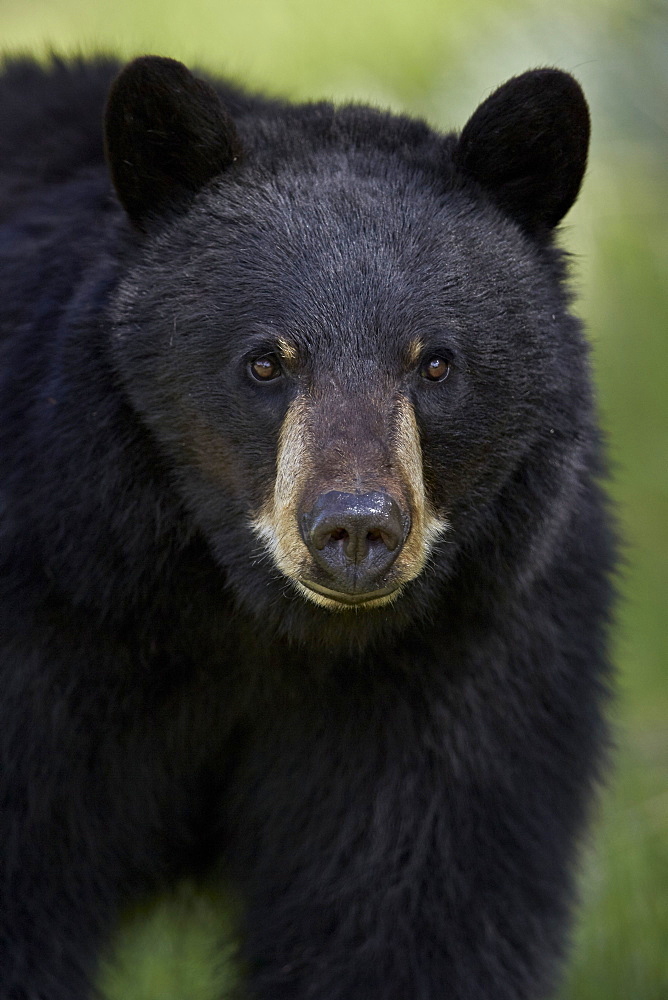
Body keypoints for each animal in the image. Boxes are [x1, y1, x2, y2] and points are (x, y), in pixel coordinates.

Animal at [0, 56, 616, 1000]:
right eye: (265, 361)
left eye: (436, 363)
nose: (356, 529)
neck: (252, 626)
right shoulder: (54, 604)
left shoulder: (468, 655)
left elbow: (412, 909)